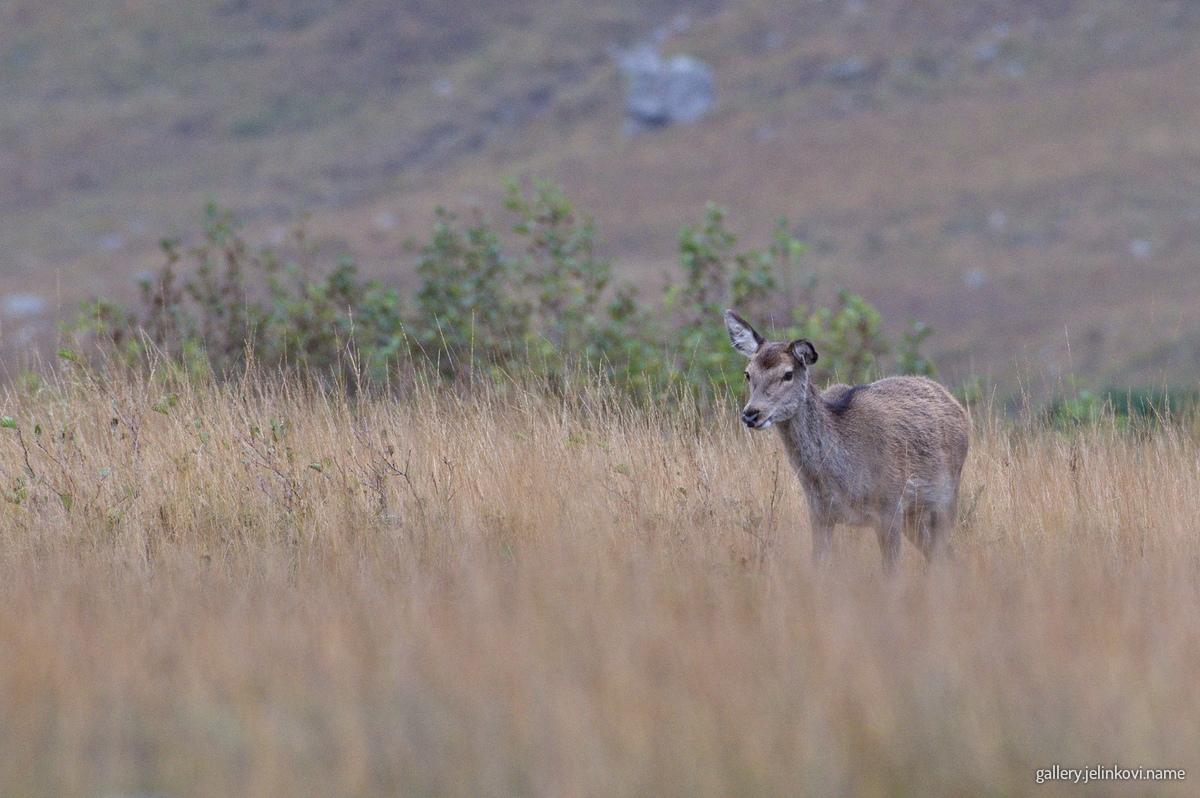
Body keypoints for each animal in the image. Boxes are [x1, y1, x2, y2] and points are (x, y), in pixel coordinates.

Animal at [724, 309, 969, 572]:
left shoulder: (889, 506)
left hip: (947, 496)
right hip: (913, 515)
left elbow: (891, 575)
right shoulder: (819, 513)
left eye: (788, 373)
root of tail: (954, 403)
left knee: (943, 551)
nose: (751, 414)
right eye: (748, 373)